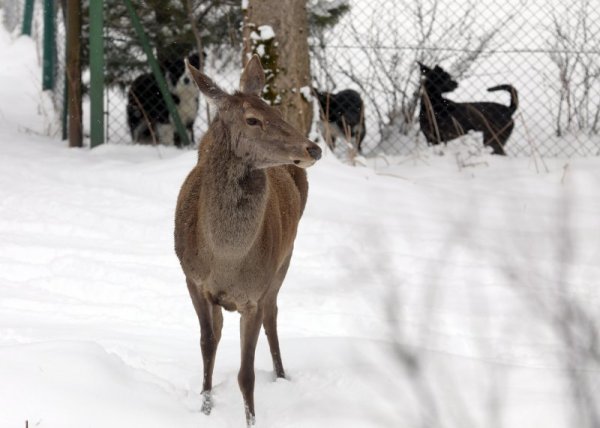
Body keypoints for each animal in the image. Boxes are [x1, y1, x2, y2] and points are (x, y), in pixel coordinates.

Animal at [175, 55, 324, 426]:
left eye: (276, 111)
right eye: (253, 119)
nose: (313, 148)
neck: (225, 260)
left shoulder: (253, 295)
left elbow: (247, 374)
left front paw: (251, 420)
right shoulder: (192, 280)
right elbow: (207, 343)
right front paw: (205, 406)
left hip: (284, 259)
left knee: (274, 313)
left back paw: (282, 376)